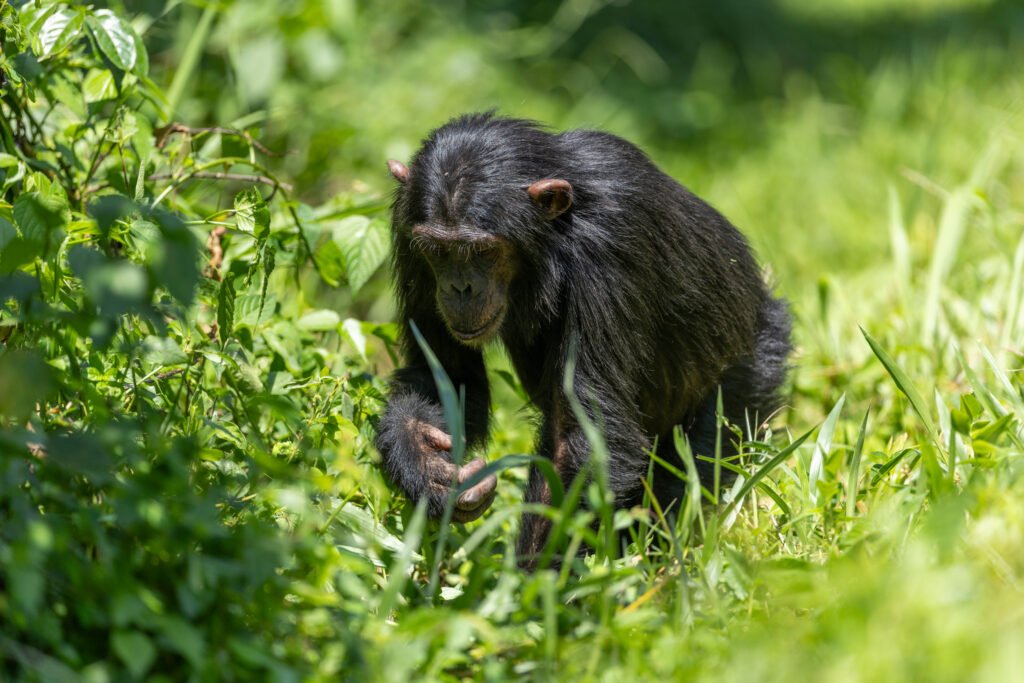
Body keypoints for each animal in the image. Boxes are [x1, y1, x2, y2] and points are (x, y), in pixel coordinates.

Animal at [374, 112, 791, 563]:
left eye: (481, 251)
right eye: (438, 250)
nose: (459, 288)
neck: (549, 239)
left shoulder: (610, 244)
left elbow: (582, 439)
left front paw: (531, 582)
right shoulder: (408, 239)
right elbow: (447, 379)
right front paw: (423, 459)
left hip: (746, 377)